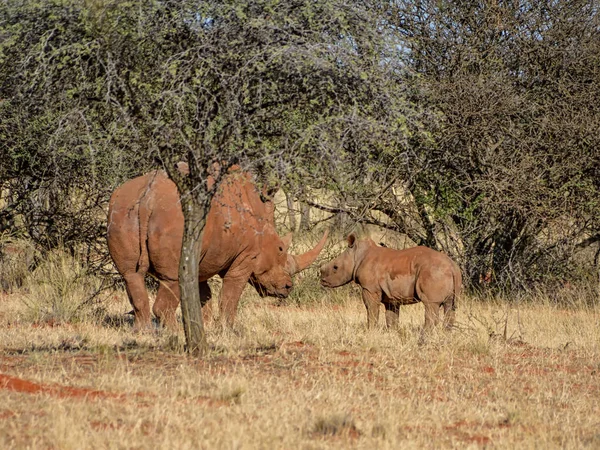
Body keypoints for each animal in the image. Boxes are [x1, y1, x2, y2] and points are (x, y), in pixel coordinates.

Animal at [322, 234, 462, 332]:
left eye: (335, 267)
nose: (322, 280)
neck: (357, 255)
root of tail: (452, 266)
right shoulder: (391, 296)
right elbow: (391, 318)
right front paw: (393, 333)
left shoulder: (370, 288)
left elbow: (371, 310)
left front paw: (370, 331)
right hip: (449, 273)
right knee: (450, 306)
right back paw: (445, 334)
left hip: (433, 272)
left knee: (430, 304)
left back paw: (424, 338)